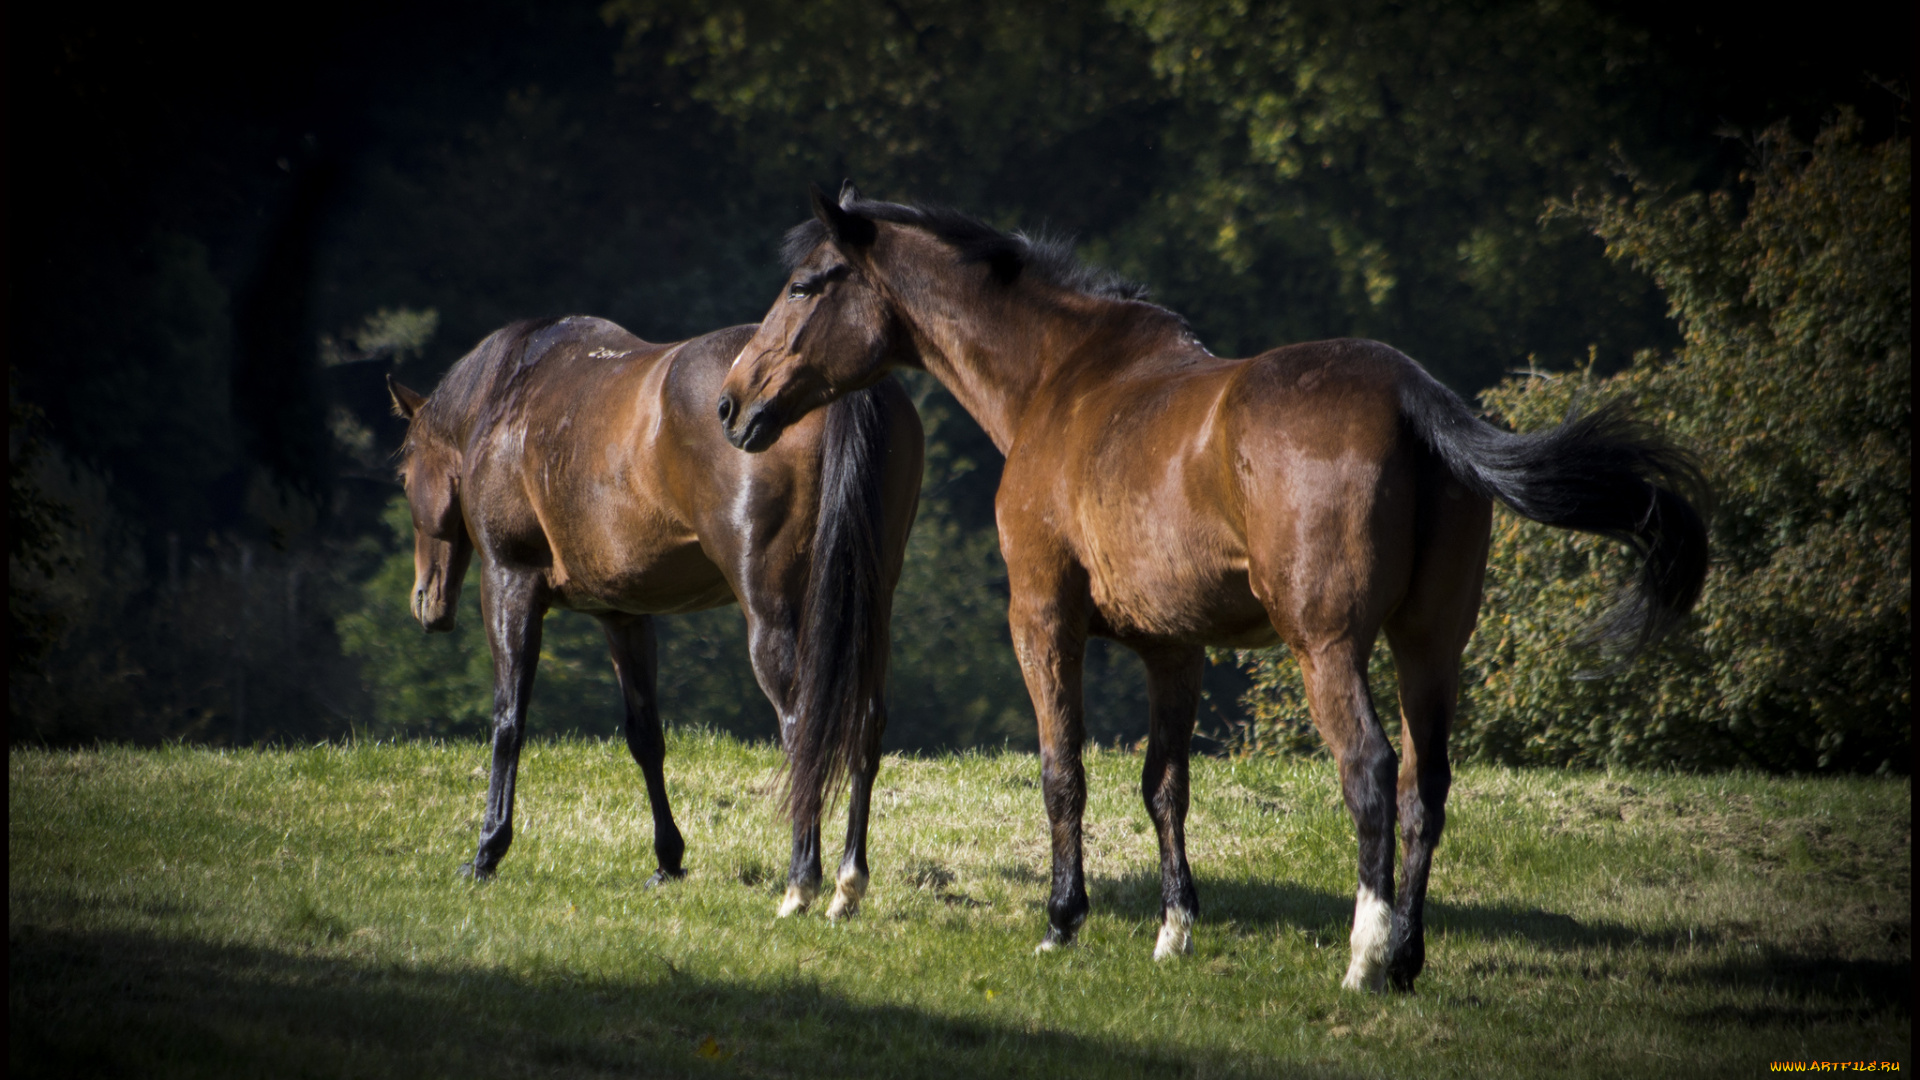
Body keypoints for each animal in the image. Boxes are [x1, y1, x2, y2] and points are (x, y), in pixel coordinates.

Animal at [385, 313, 917, 914]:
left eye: (404, 476)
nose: (425, 602)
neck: (508, 395)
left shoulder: (509, 581)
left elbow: (508, 720)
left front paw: (487, 851)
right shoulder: (624, 614)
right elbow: (645, 737)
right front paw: (668, 860)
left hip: (777, 615)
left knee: (805, 725)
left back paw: (801, 881)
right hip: (867, 609)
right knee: (864, 724)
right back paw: (849, 882)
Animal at [714, 184, 1704, 983]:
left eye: (807, 283)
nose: (731, 403)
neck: (1064, 379)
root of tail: (1410, 394)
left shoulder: (1042, 617)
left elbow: (1063, 770)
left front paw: (1062, 921)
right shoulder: (1173, 648)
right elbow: (1165, 784)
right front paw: (1174, 930)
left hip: (1328, 646)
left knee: (1371, 772)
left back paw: (1364, 955)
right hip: (1429, 646)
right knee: (1427, 787)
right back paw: (1407, 959)